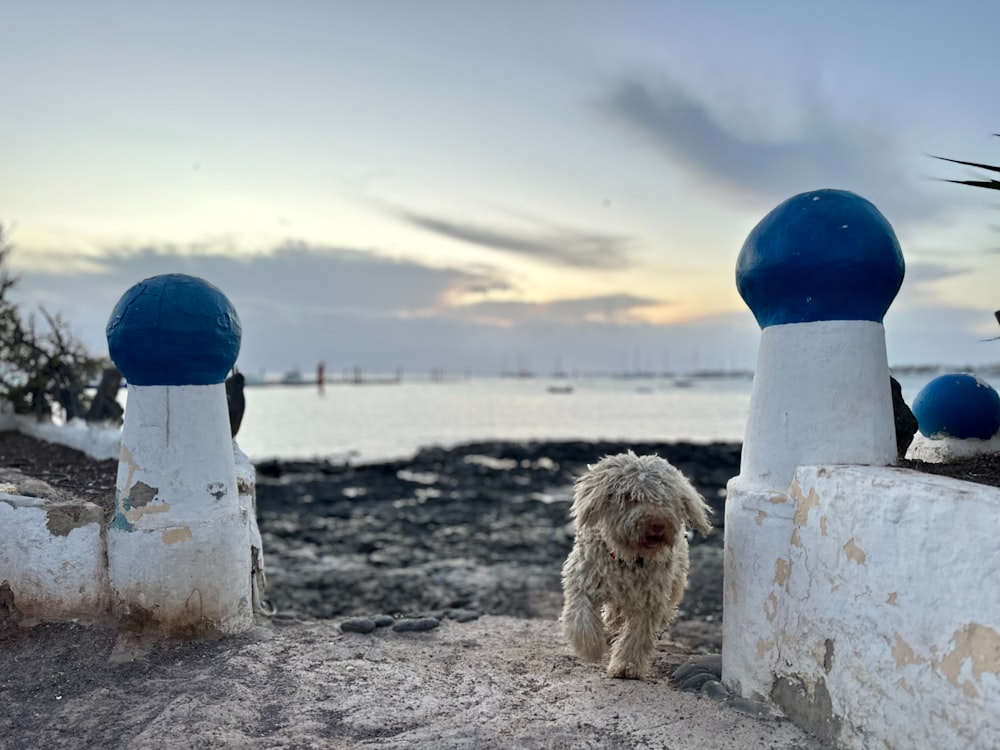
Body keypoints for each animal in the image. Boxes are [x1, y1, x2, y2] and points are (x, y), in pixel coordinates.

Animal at [564, 452, 712, 680]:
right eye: (630, 497)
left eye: (665, 498)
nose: (658, 524)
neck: (628, 558)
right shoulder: (581, 581)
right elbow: (581, 617)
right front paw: (591, 649)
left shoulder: (649, 600)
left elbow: (638, 635)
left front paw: (627, 666)